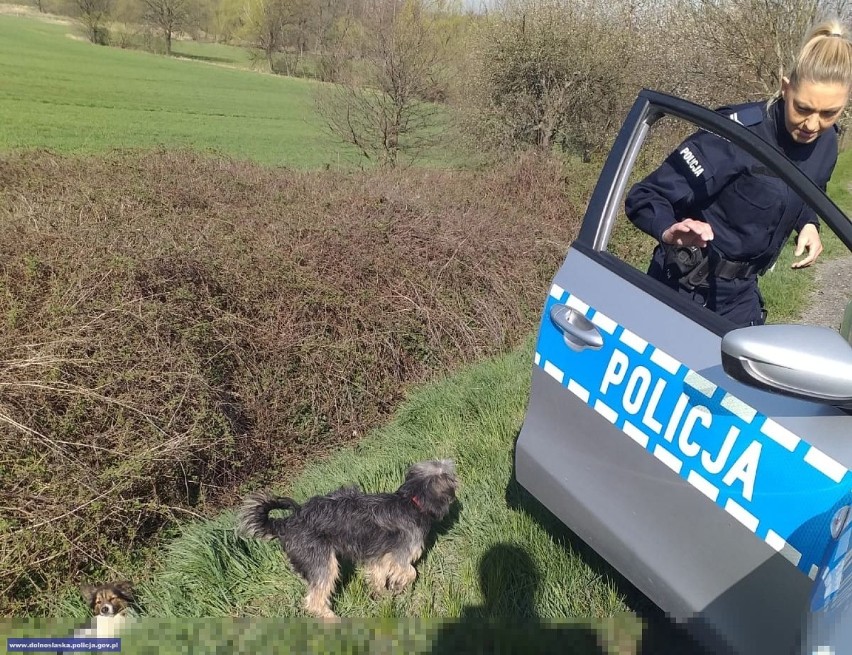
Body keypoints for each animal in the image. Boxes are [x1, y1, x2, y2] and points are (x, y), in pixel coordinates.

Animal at [233, 458, 460, 616]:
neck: (411, 501)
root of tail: (285, 523)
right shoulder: (401, 554)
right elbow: (411, 572)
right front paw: (399, 585)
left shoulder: (379, 556)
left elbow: (377, 575)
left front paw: (383, 595)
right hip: (323, 563)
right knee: (314, 600)